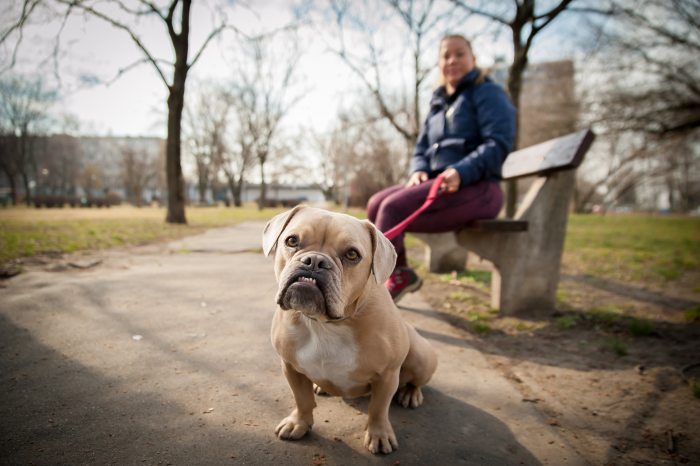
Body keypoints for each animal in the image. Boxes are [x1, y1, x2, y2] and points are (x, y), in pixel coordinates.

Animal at [262, 206, 438, 454]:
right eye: (292, 241)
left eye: (352, 255)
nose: (314, 260)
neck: (325, 323)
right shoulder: (290, 367)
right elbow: (302, 399)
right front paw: (298, 423)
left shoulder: (387, 376)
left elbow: (378, 409)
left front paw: (379, 435)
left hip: (421, 355)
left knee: (416, 380)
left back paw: (411, 394)